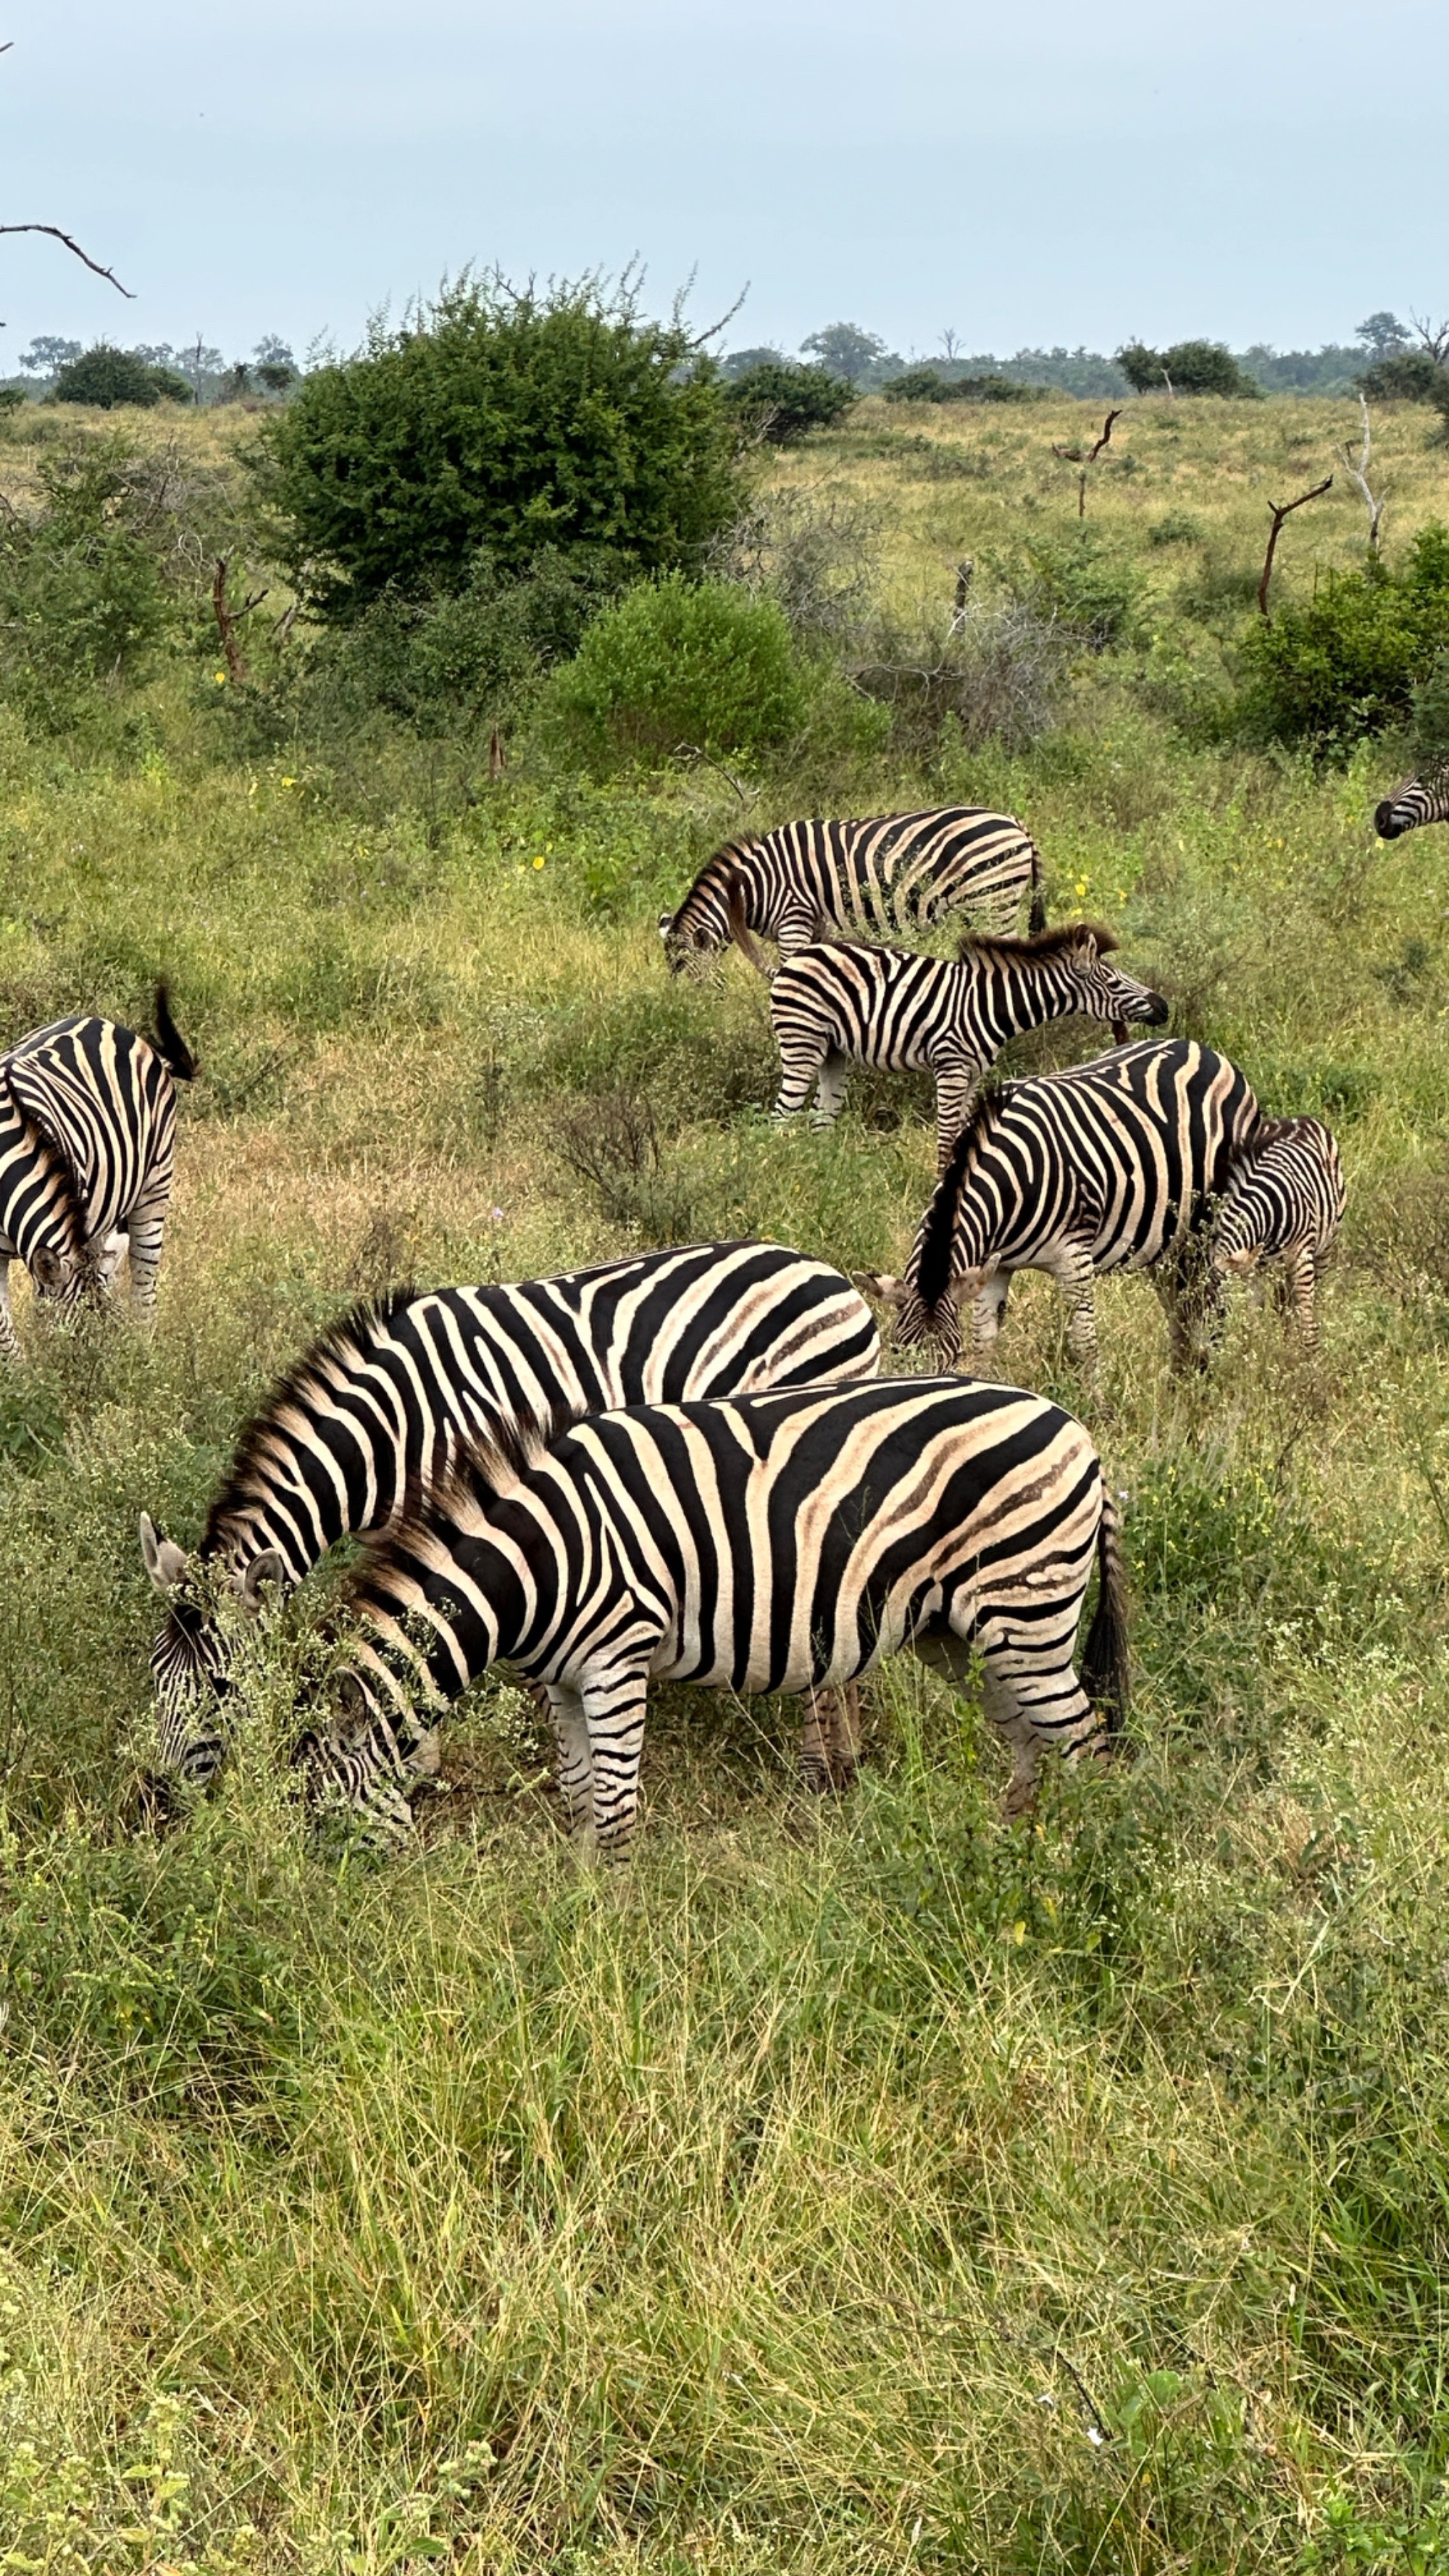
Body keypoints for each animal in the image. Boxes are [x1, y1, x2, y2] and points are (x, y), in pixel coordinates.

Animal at [297, 1391, 1132, 1854]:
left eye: (319, 1814)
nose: (316, 1912)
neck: (542, 1562)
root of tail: (1079, 1434)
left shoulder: (617, 1659)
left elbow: (615, 1808)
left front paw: (614, 1932)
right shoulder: (561, 1679)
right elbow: (578, 1796)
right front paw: (580, 1900)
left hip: (1028, 1614)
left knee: (1087, 1748)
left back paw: (1081, 1873)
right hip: (964, 1635)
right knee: (1028, 1740)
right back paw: (1005, 1852)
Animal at [772, 927, 1168, 1169]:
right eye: (1115, 983)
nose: (1163, 1007)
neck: (991, 1005)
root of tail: (795, 958)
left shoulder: (976, 1073)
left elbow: (963, 1136)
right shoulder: (952, 1066)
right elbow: (947, 1138)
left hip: (833, 1052)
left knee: (820, 1120)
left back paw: (822, 1172)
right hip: (802, 1040)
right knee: (780, 1117)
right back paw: (784, 1169)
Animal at [859, 1035, 1261, 1380]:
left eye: (951, 1356)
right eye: (896, 1351)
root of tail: (1204, 1050)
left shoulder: (1074, 1259)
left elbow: (1085, 1345)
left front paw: (1098, 1409)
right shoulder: (995, 1265)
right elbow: (985, 1341)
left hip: (1207, 1230)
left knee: (1212, 1308)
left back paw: (1204, 1382)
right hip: (1168, 1242)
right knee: (1181, 1311)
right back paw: (1180, 1385)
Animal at [1209, 1112, 1348, 1349]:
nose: (1215, 1340)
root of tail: (1299, 1119)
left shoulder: (1300, 1256)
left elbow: (1307, 1321)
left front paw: (1310, 1355)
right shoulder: (1253, 1269)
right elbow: (1255, 1319)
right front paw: (1253, 1351)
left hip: (1324, 1249)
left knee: (1303, 1301)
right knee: (1284, 1303)